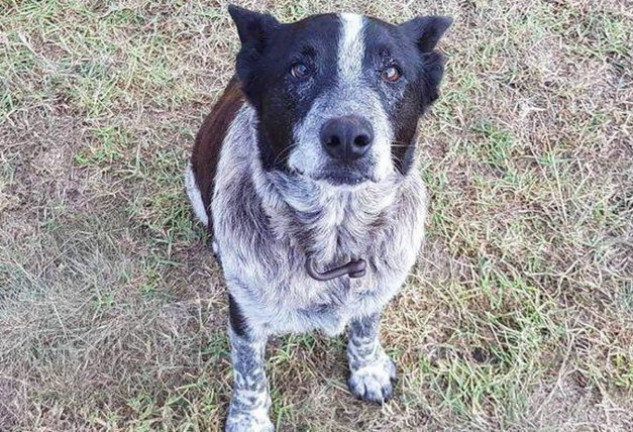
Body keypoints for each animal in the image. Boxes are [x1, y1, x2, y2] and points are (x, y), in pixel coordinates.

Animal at [185, 5, 452, 430]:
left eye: (392, 72)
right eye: (300, 69)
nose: (347, 136)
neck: (334, 236)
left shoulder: (376, 289)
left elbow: (365, 327)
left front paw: (368, 369)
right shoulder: (245, 313)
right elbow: (249, 371)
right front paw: (250, 418)